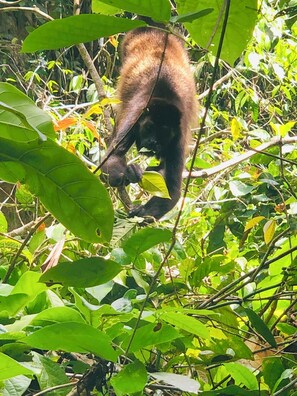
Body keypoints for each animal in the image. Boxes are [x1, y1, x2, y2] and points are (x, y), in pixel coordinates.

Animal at [100, 26, 197, 221]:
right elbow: (112, 157)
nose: (153, 142)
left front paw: (143, 213)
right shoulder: (134, 117)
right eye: (149, 127)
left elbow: (172, 189)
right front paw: (127, 173)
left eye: (164, 132)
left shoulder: (178, 137)